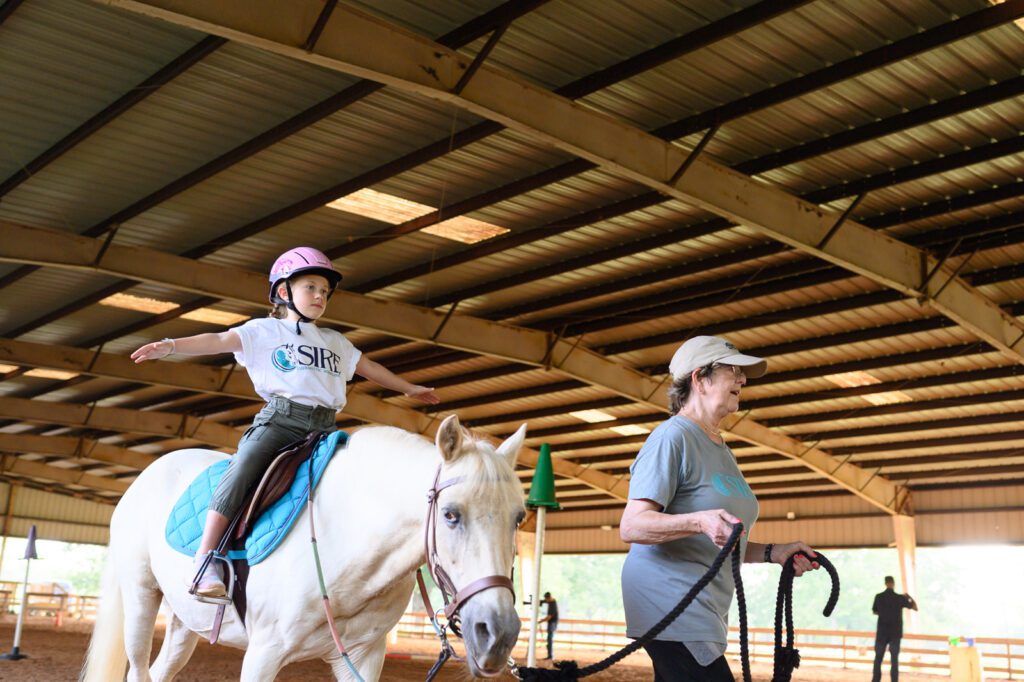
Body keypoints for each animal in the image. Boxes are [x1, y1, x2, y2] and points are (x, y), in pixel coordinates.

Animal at [80, 411, 528, 675]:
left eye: (519, 517)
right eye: (451, 514)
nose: (498, 634)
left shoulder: (363, 657)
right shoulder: (263, 654)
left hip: (183, 621)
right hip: (141, 598)